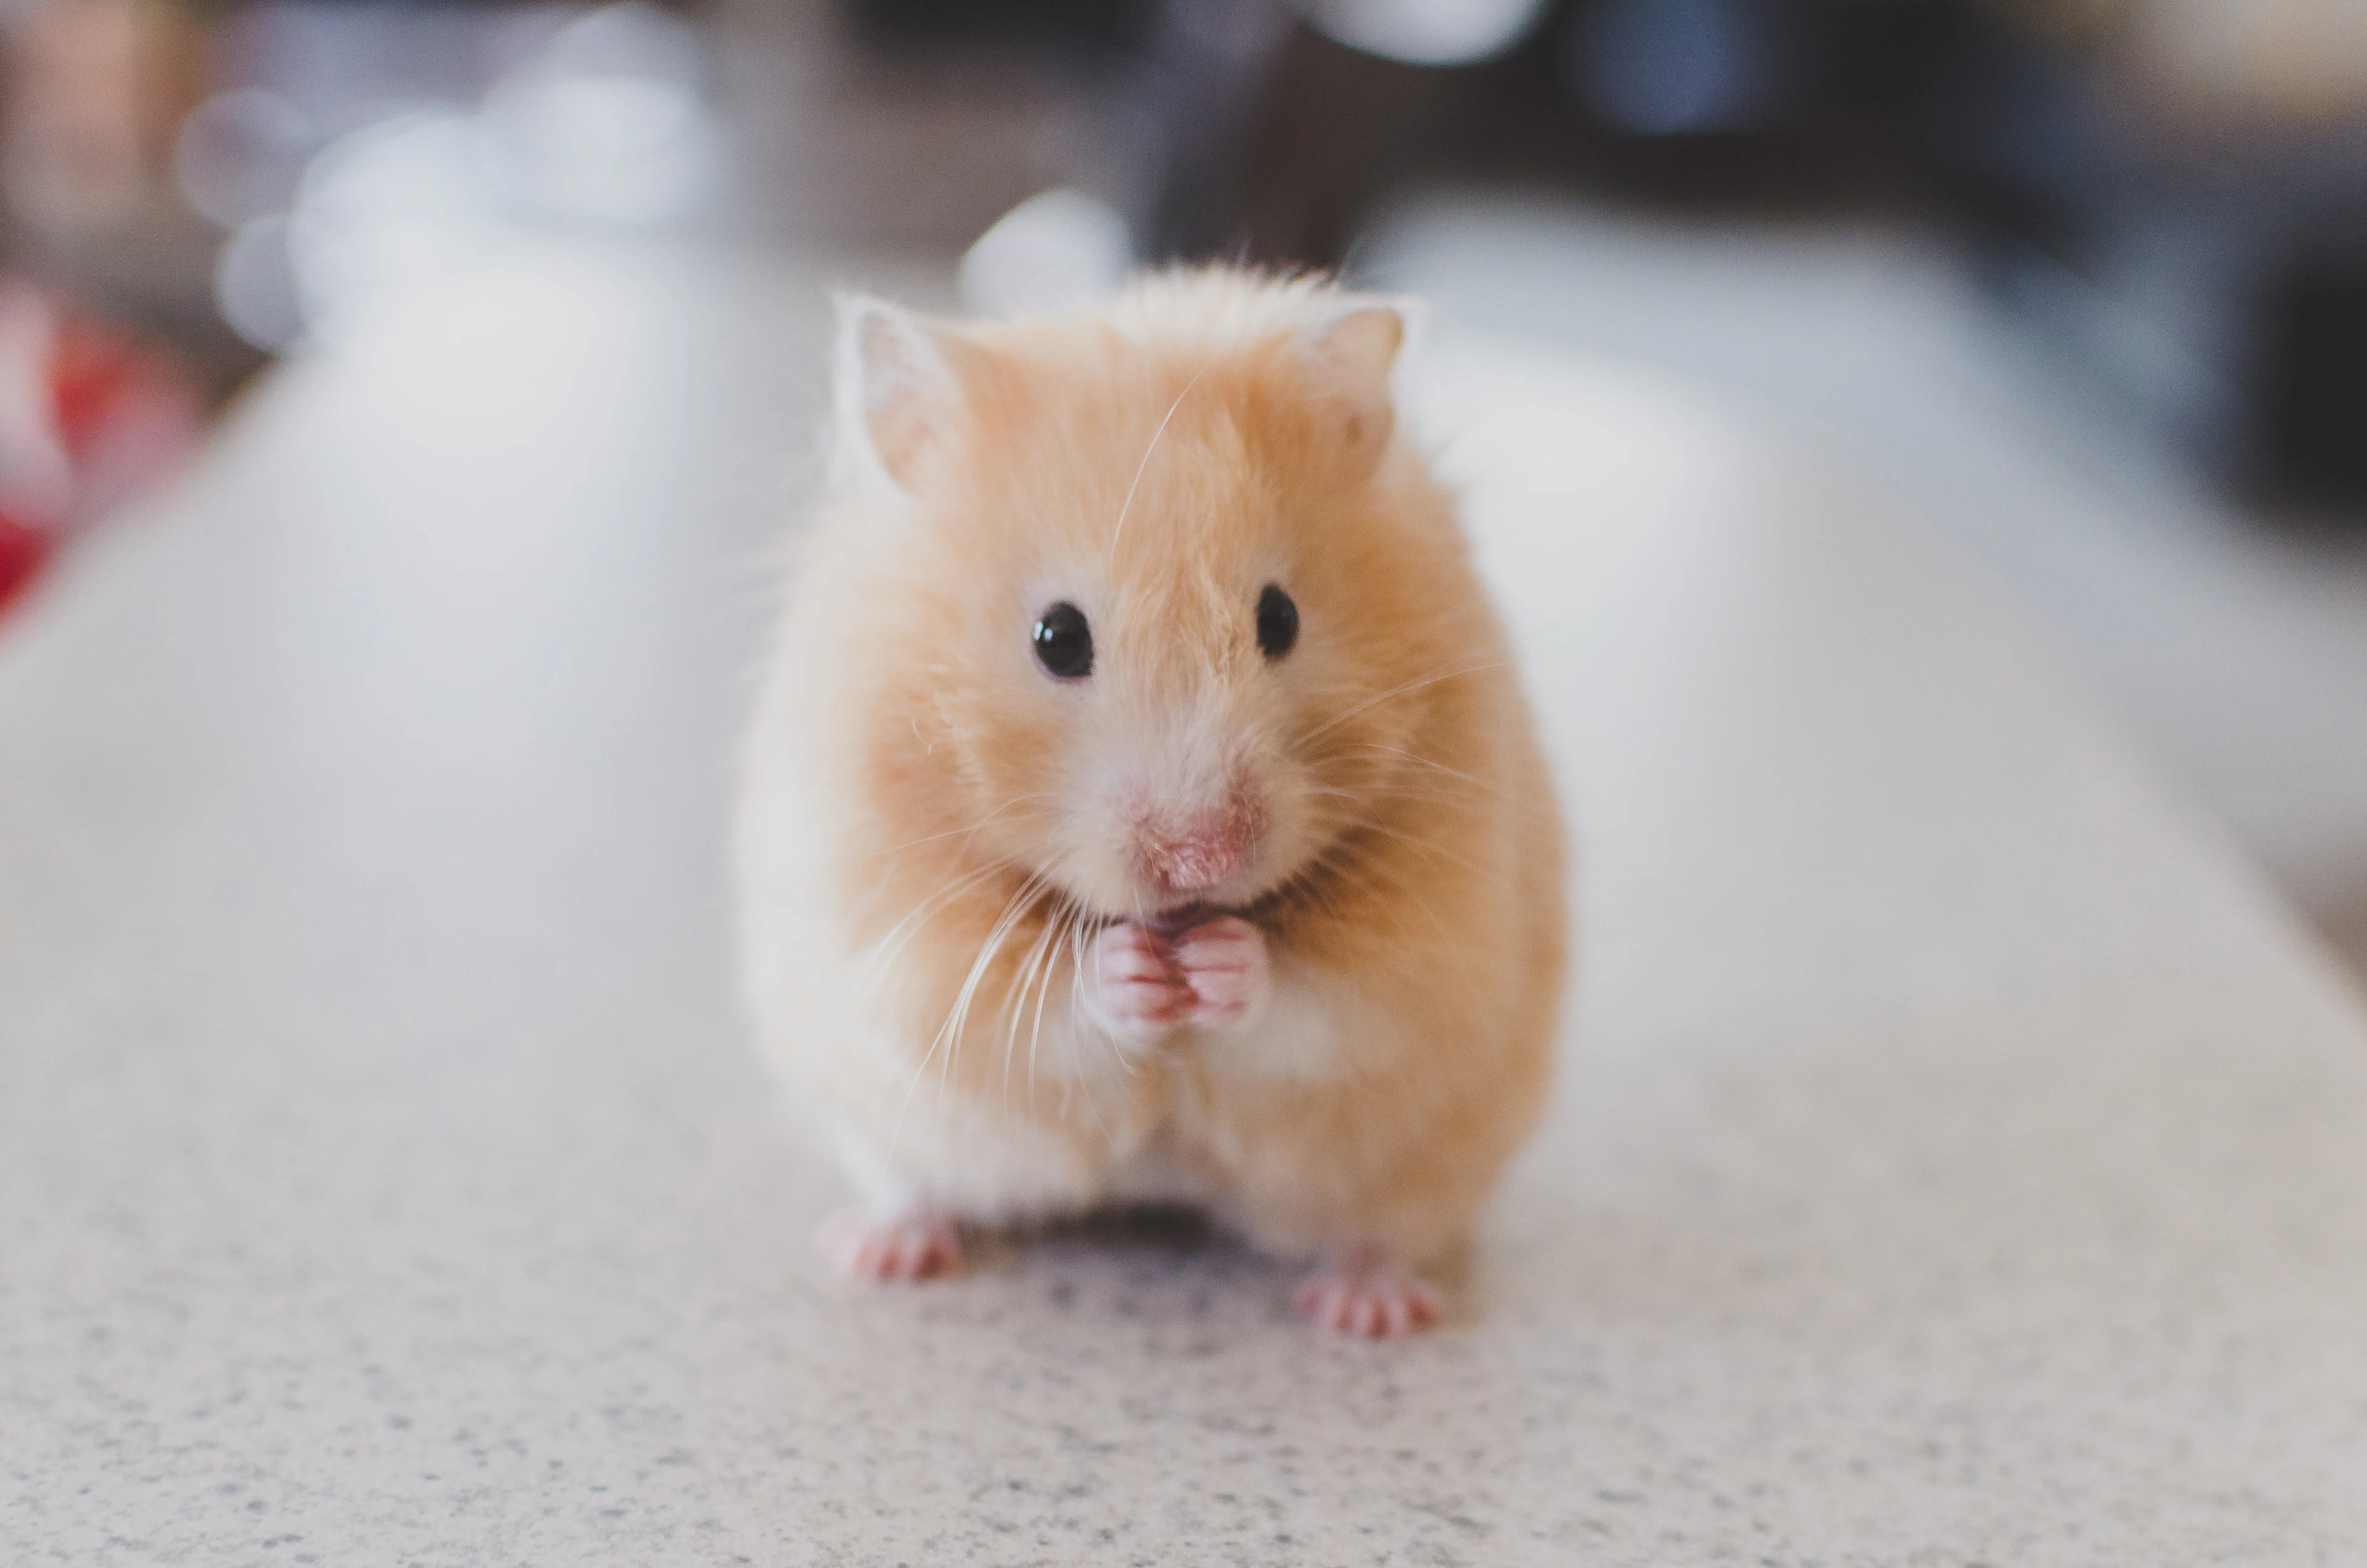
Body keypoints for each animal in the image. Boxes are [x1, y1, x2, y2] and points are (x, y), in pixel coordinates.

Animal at [735, 267, 1567, 1336]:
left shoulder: (1437, 945)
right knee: (916, 1185)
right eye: (1057, 637)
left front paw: (1220, 965)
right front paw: (1132, 971)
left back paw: (1368, 1310)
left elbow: (1327, 1002)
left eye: (1280, 618)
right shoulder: (896, 939)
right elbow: (1036, 1005)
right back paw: (879, 1252)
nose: (1203, 860)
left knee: (1380, 1229)